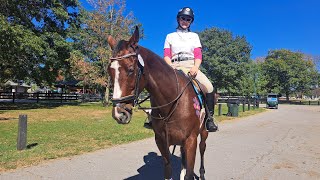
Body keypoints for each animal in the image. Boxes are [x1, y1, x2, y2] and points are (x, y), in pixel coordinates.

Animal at [107, 26, 210, 180]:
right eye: (110, 71)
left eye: (131, 70)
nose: (119, 113)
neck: (172, 103)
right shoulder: (161, 141)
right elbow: (168, 170)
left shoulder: (191, 140)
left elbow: (189, 173)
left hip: (203, 132)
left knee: (202, 148)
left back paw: (202, 173)